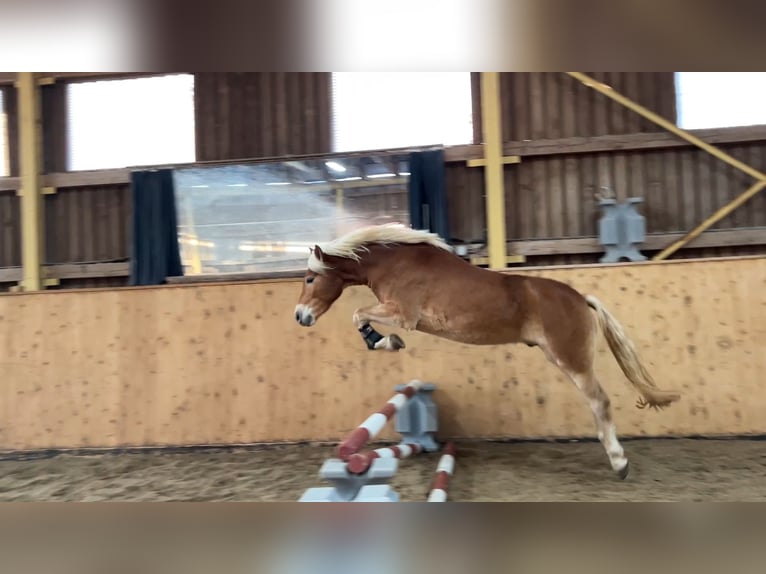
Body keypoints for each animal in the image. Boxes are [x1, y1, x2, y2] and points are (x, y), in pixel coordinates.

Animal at [296, 223, 684, 480]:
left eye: (310, 279)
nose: (301, 317)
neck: (395, 263)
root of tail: (579, 299)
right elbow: (359, 315)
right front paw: (382, 341)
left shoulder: (402, 314)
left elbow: (358, 314)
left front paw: (384, 341)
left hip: (571, 360)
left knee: (600, 402)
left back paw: (620, 463)